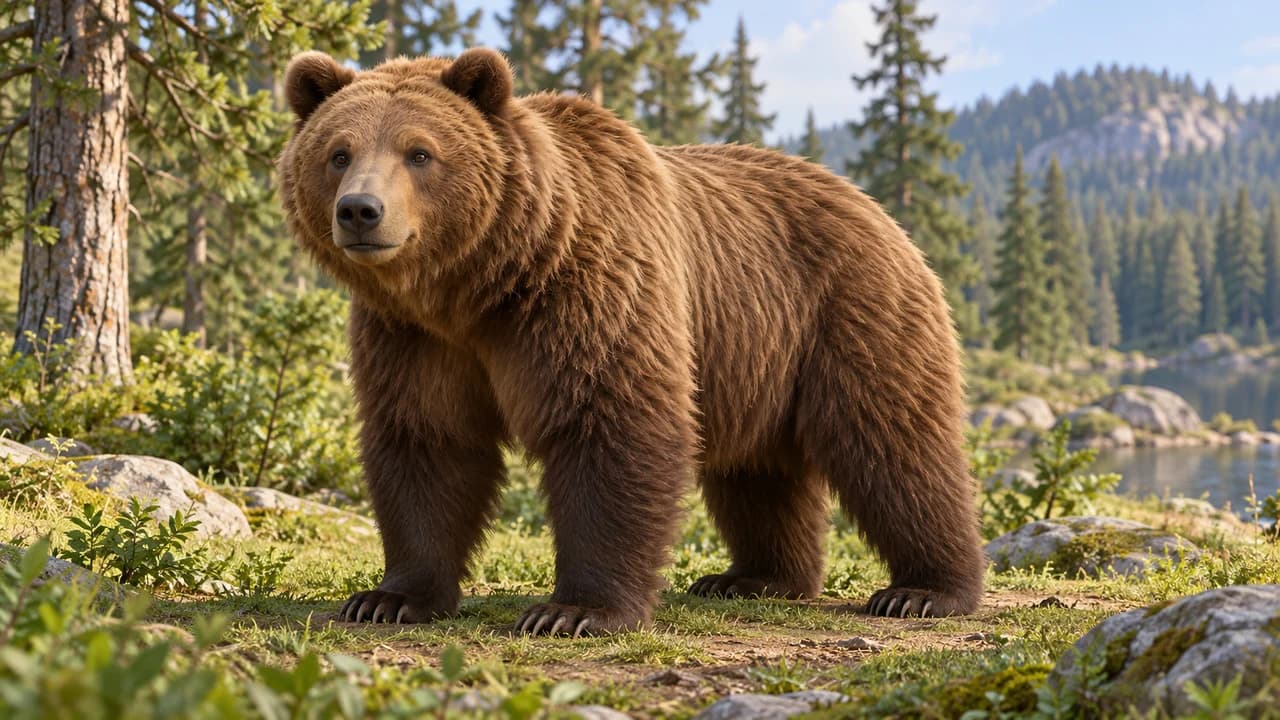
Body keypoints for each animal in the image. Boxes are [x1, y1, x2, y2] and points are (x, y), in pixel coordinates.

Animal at [278, 47, 985, 635]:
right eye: (338, 152)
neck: (479, 286)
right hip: (755, 358)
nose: (360, 211)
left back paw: (924, 590)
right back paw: (754, 578)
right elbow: (427, 441)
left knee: (892, 443)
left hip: (847, 312)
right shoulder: (414, 338)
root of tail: (871, 202)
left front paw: (574, 611)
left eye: (419, 152)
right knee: (757, 471)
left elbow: (610, 425)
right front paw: (388, 598)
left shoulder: (585, 294)